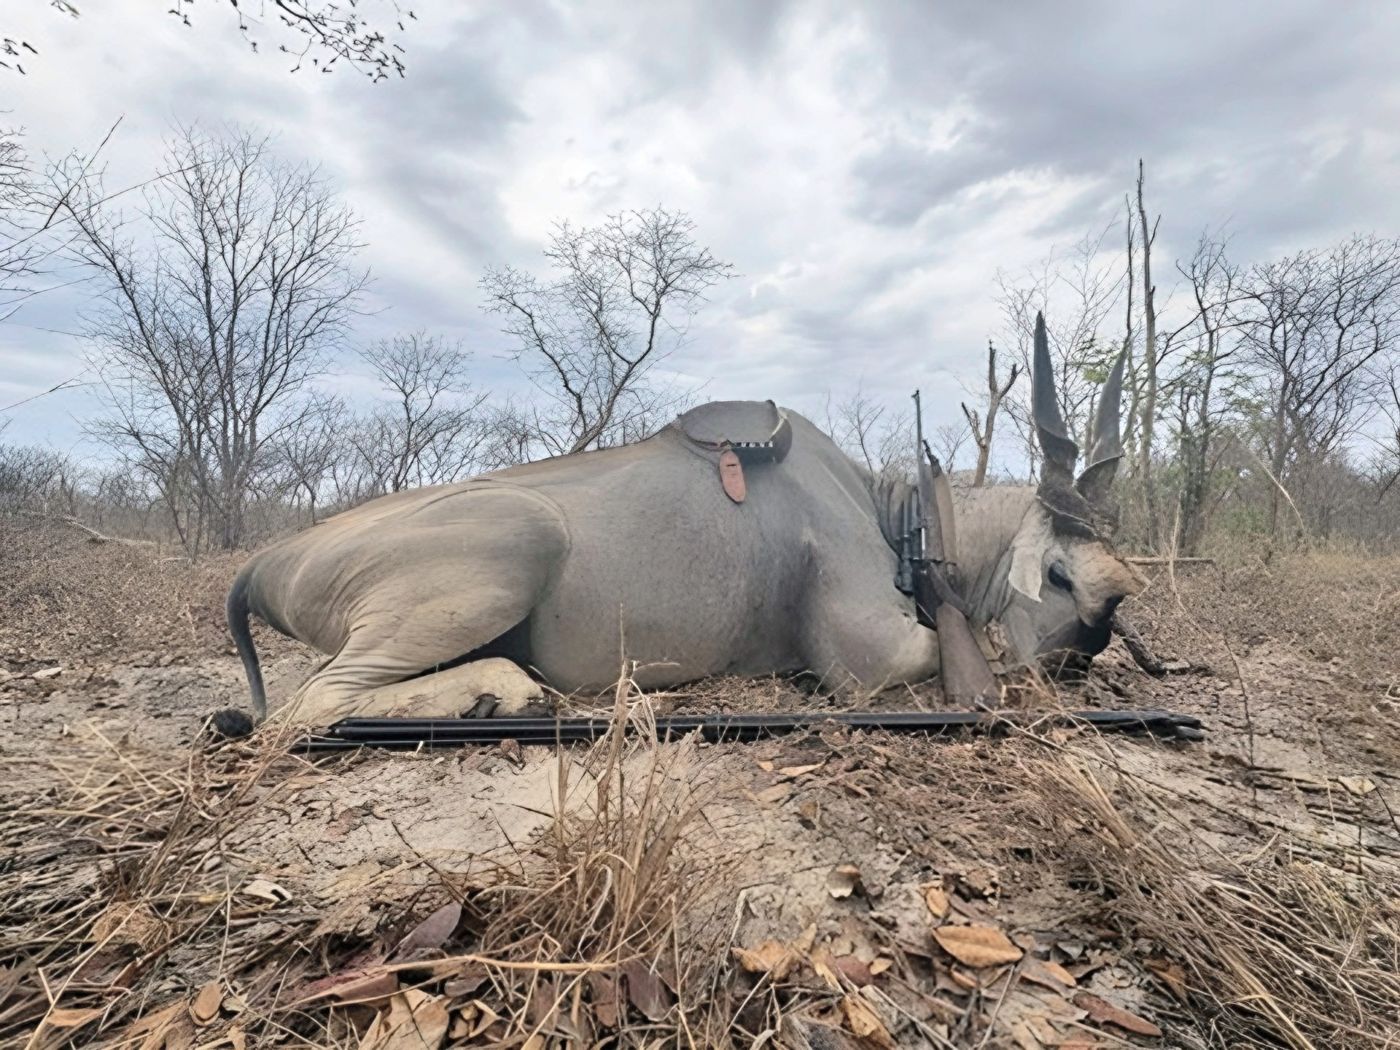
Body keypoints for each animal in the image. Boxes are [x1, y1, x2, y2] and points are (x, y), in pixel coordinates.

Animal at [218, 314, 1144, 731]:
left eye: (1118, 602)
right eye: (1061, 575)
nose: (1068, 668)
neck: (895, 505)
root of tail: (263, 566)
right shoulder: (872, 658)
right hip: (515, 542)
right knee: (306, 705)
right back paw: (502, 691)